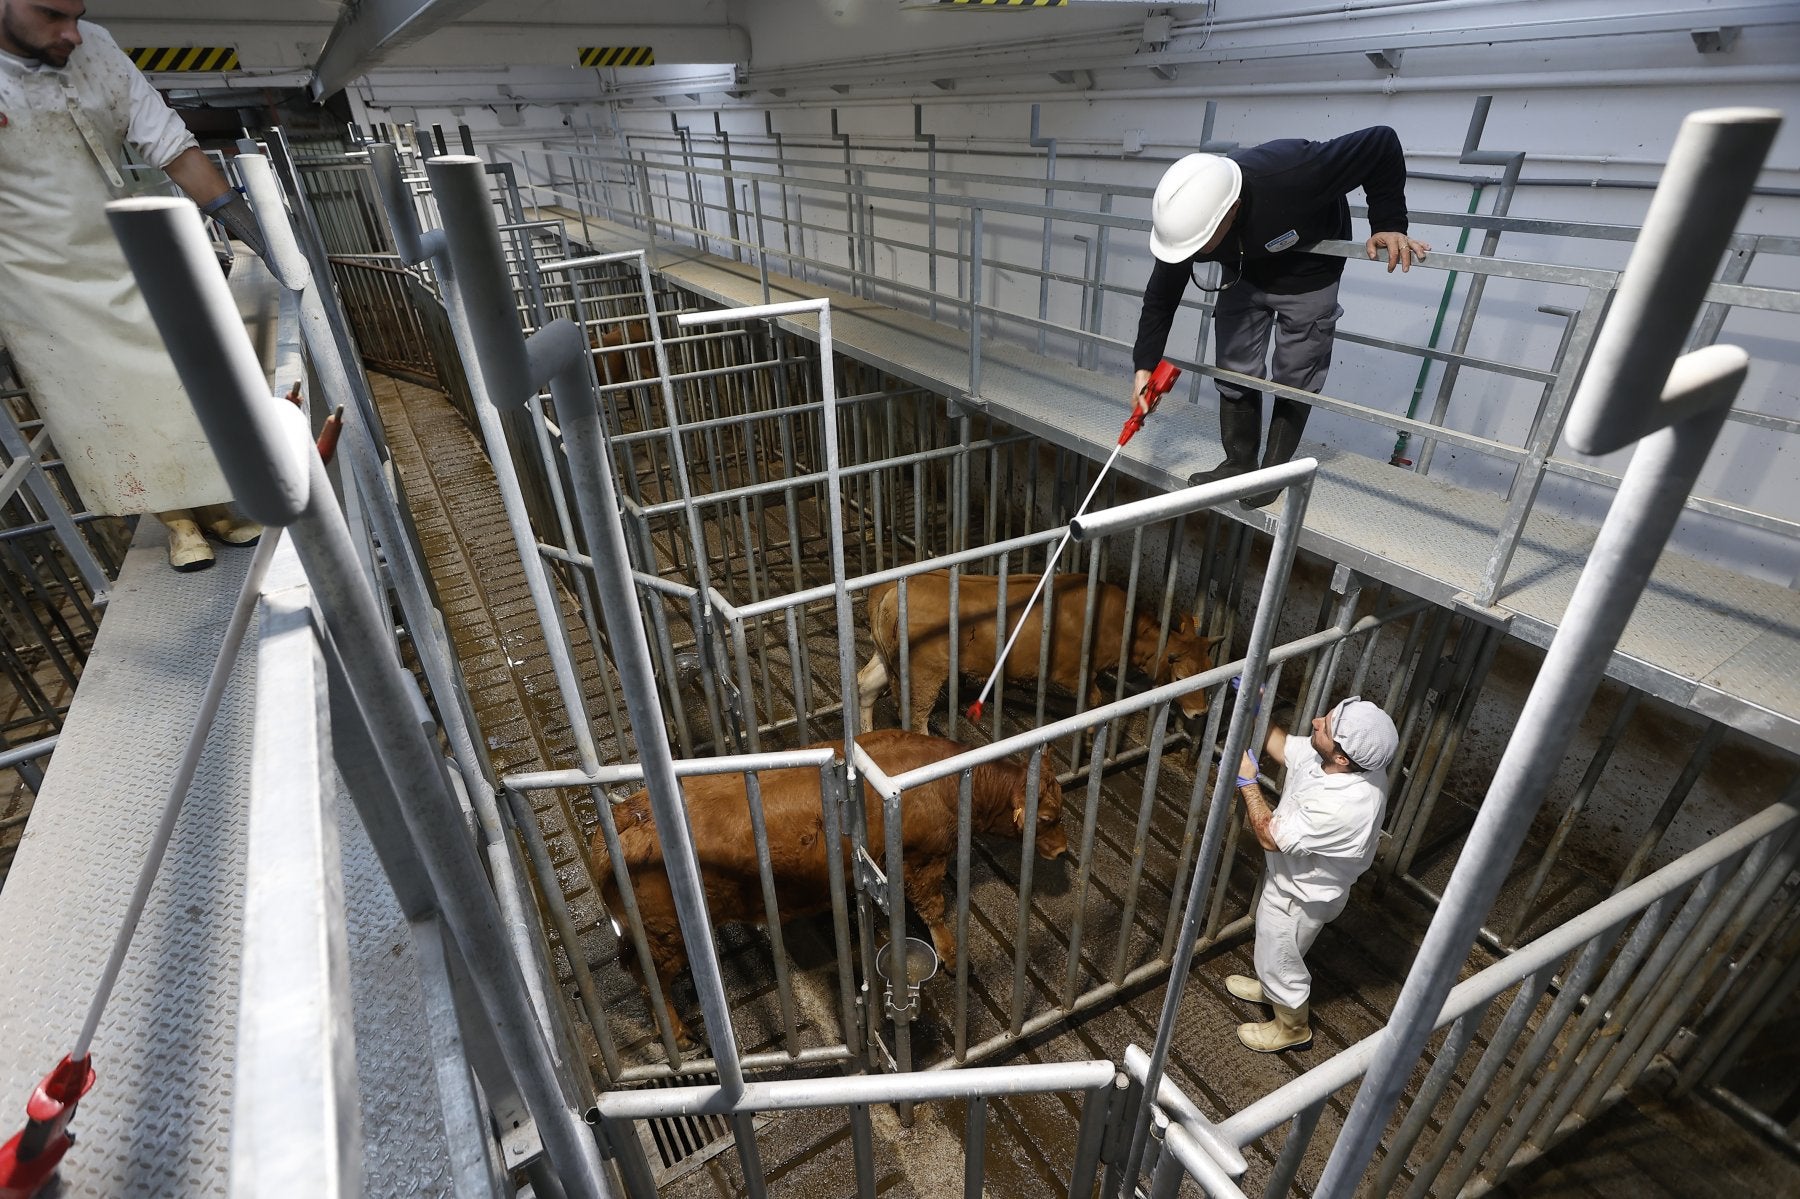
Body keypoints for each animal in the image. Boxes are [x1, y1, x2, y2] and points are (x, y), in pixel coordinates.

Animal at [590, 723, 1065, 1044]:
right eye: (1047, 818)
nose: (1062, 852)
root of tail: (623, 817)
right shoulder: (924, 859)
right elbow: (933, 906)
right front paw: (950, 956)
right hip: (662, 935)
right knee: (649, 979)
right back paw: (677, 1031)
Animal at [853, 568, 1224, 727]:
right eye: (1183, 676)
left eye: (1208, 667)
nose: (1200, 713)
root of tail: (893, 587)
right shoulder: (1075, 674)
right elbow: (1095, 702)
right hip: (924, 672)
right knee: (914, 714)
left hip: (885, 656)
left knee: (865, 684)